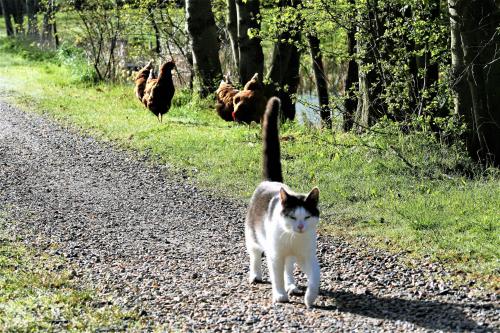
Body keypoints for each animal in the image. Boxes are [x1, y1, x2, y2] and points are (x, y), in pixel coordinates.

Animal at [245, 95, 320, 306]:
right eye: (293, 217)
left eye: (307, 217)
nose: (301, 227)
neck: (293, 238)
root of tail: (270, 181)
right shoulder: (275, 255)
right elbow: (276, 274)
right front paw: (279, 295)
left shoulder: (308, 256)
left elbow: (315, 278)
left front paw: (310, 297)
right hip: (252, 236)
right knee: (255, 254)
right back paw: (256, 275)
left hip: (293, 256)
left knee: (289, 267)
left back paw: (292, 285)